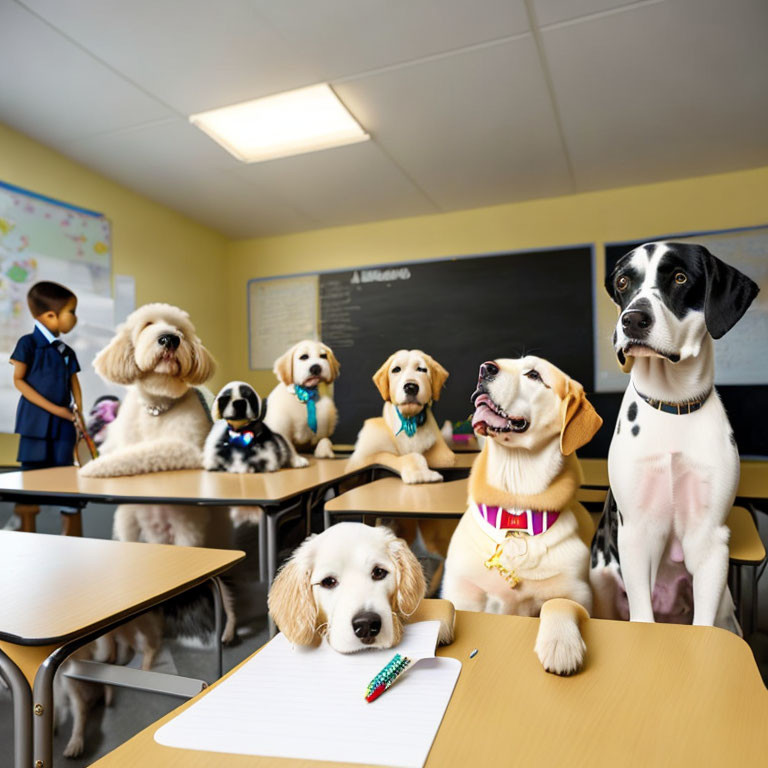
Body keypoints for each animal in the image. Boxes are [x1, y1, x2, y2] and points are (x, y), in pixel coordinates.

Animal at [350, 352, 456, 484]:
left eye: (422, 369)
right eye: (396, 369)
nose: (411, 387)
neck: (409, 421)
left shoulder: (445, 455)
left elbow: (445, 459)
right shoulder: (366, 456)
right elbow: (402, 456)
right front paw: (421, 473)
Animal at [440, 356, 604, 676]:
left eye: (534, 375)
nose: (485, 368)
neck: (516, 513)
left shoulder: (579, 595)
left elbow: (559, 604)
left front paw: (561, 645)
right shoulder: (462, 590)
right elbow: (445, 607)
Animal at [592, 240, 760, 632]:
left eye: (680, 278)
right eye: (623, 282)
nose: (633, 319)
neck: (672, 404)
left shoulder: (710, 538)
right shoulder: (637, 533)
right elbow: (641, 615)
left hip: (726, 608)